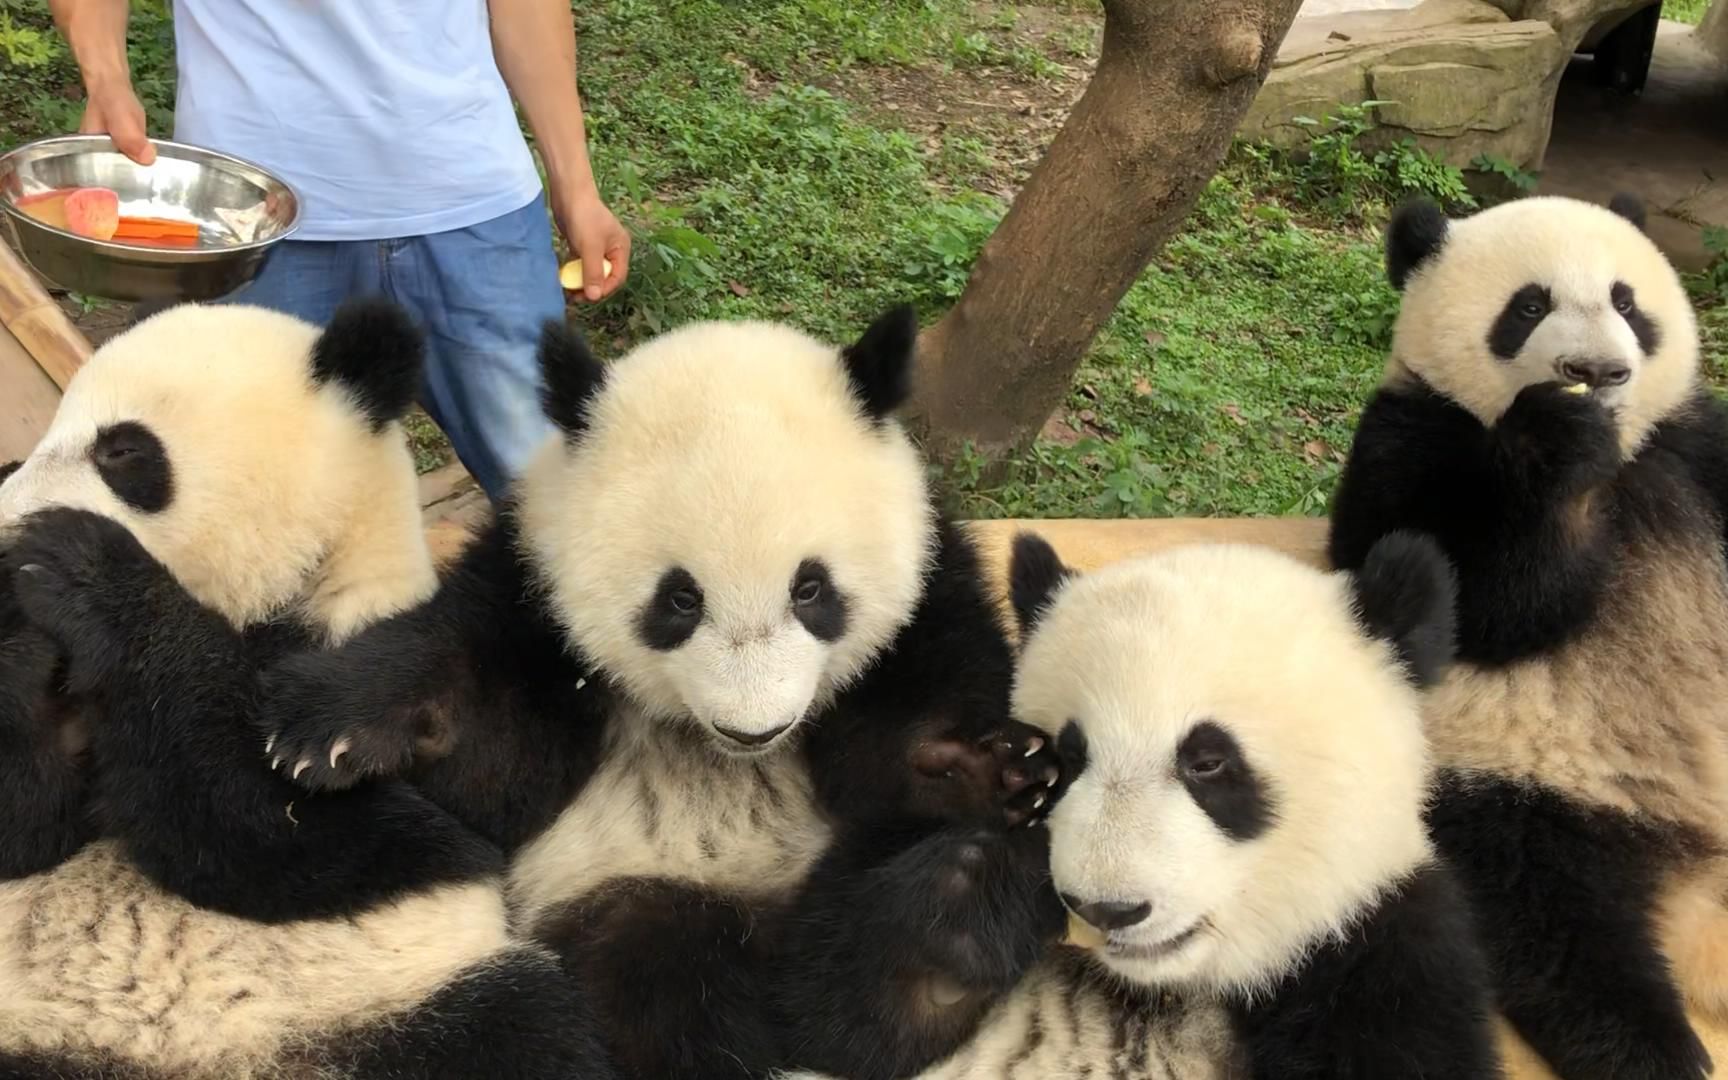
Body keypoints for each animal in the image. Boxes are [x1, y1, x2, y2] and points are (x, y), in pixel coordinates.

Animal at [0, 300, 615, 1078]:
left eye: (121, 450)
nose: (3, 532)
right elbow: (27, 827)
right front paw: (22, 646)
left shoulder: (384, 664)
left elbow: (307, 828)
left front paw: (85, 569)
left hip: (414, 1004)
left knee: (522, 1033)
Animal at [260, 305, 1057, 1078]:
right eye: (680, 599)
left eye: (811, 589)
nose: (754, 729)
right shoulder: (532, 588)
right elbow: (491, 753)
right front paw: (328, 733)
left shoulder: (929, 594)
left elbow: (901, 754)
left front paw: (982, 767)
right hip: (627, 889)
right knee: (655, 977)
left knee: (864, 1000)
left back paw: (950, 928)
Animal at [784, 532, 1499, 1078]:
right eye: (1071, 756)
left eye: (1207, 762)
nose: (1107, 908)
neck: (1164, 982)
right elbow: (824, 1019)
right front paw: (983, 885)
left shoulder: (1375, 951)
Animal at [1320, 193, 1728, 1078]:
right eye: (1529, 307)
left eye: (1626, 303)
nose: (1598, 372)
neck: (1620, 460)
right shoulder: (1415, 437)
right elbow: (1479, 611)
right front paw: (1558, 444)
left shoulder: (1695, 449)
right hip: (1526, 790)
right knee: (1560, 932)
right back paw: (1656, 1050)